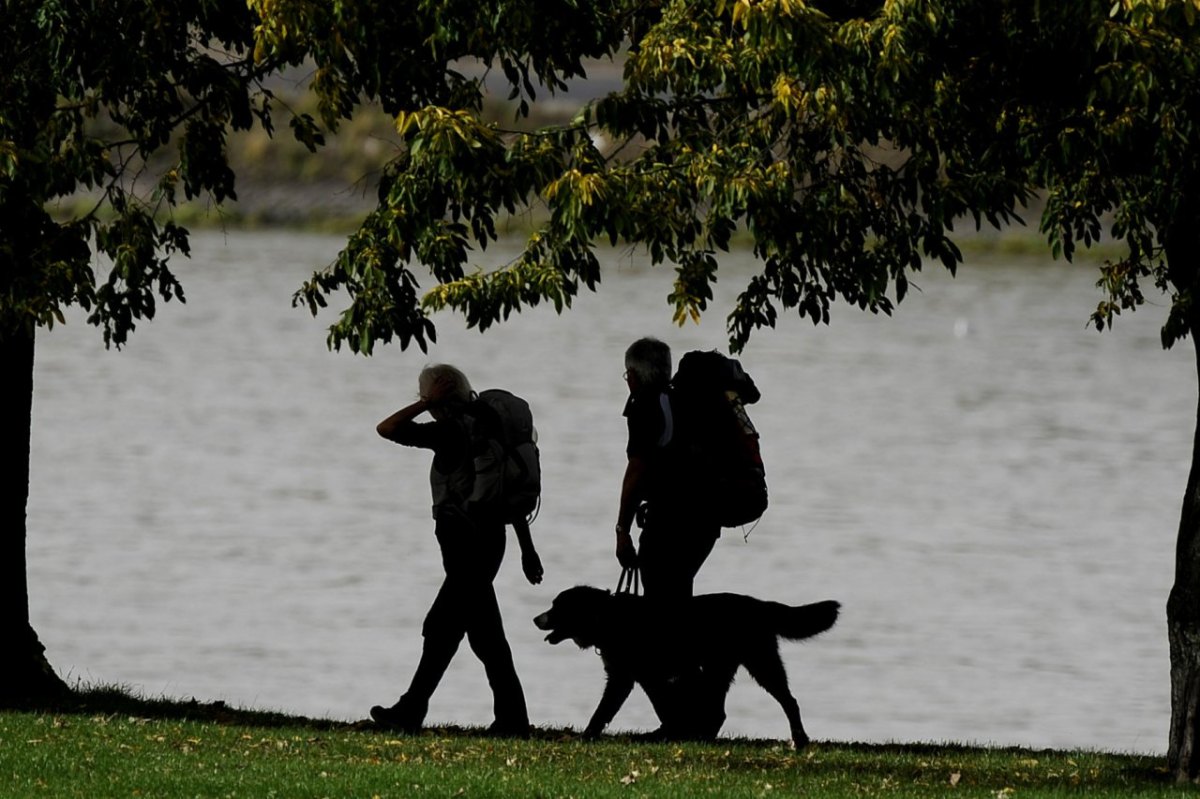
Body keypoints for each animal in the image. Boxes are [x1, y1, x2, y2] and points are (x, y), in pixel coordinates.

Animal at [530, 583, 840, 743]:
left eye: (557, 606)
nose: (535, 619)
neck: (607, 616)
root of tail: (759, 604)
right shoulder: (632, 676)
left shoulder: (633, 677)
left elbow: (608, 710)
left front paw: (588, 735)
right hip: (721, 667)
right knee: (720, 711)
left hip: (757, 664)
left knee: (788, 701)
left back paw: (799, 737)